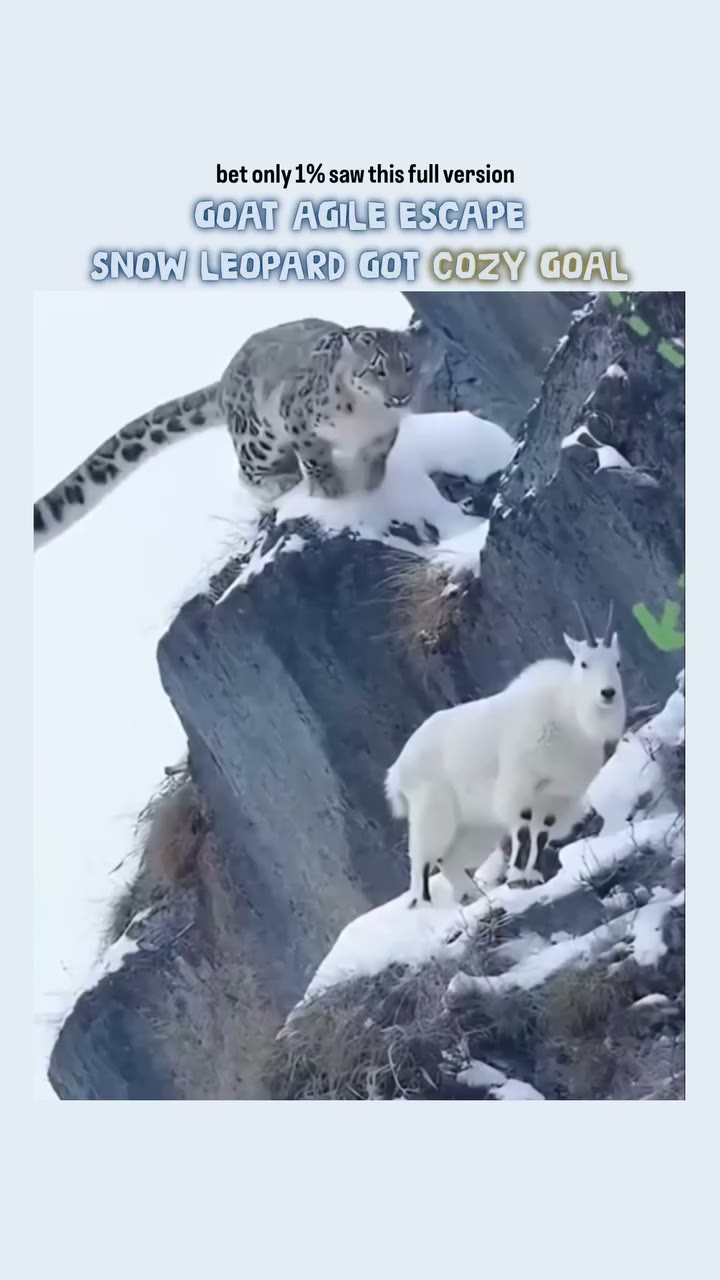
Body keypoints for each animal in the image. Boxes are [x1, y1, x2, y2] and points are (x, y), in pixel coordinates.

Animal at [33, 317, 416, 549]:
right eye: (377, 369)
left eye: (407, 365)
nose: (400, 395)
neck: (367, 417)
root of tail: (225, 376)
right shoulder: (298, 421)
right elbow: (316, 458)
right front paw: (329, 490)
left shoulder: (384, 436)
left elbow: (376, 463)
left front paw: (370, 487)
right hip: (259, 439)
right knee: (247, 471)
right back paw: (279, 483)